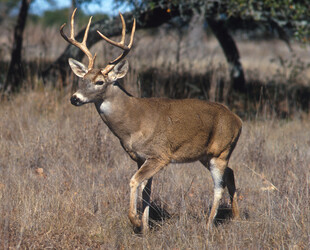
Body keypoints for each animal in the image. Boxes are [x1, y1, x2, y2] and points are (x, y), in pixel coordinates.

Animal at [61, 9, 242, 232]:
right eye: (82, 79)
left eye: (100, 82)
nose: (74, 98)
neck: (133, 124)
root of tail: (238, 120)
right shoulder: (140, 157)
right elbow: (146, 191)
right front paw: (146, 227)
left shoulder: (159, 155)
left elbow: (134, 182)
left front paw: (135, 221)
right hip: (206, 155)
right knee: (231, 174)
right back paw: (236, 217)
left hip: (221, 151)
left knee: (219, 186)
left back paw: (208, 225)